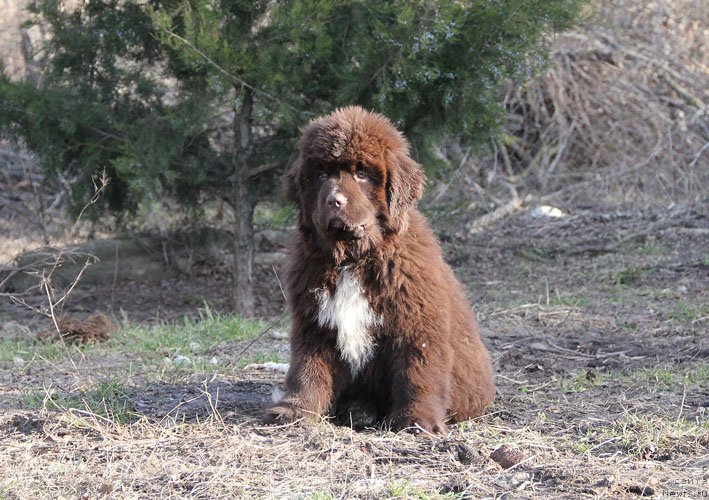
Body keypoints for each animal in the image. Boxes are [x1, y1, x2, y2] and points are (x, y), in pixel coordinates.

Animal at [268, 106, 496, 434]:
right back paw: (358, 411)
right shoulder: (315, 324)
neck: (353, 259)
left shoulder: (416, 326)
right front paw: (294, 410)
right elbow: (307, 371)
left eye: (362, 174)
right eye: (321, 174)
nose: (334, 200)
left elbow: (418, 373)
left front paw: (417, 421)